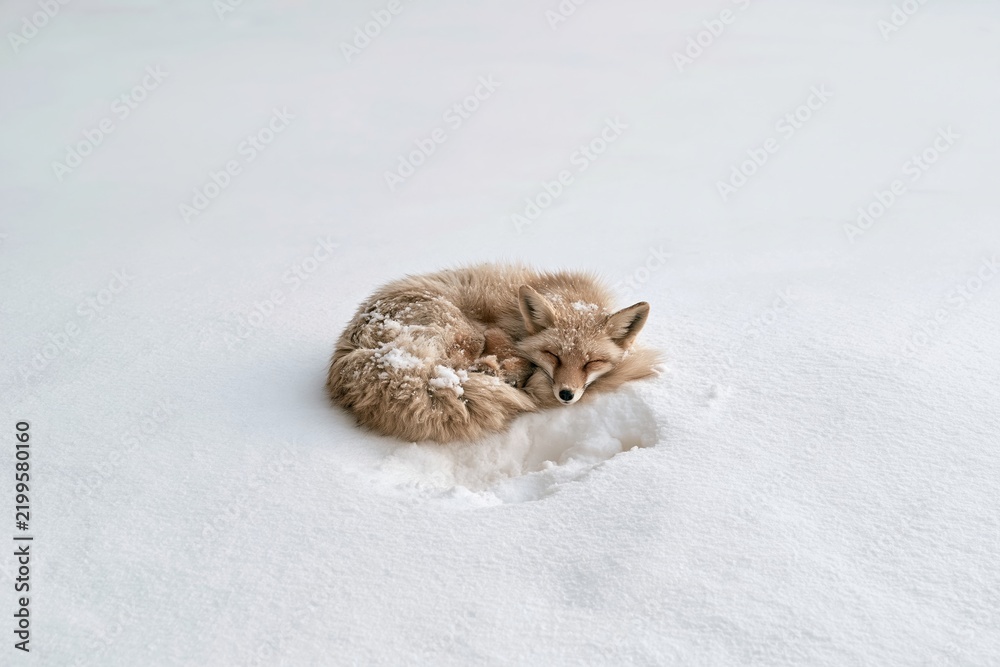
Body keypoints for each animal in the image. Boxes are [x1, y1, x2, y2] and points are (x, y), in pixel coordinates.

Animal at [326, 263, 660, 443]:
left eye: (592, 362)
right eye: (554, 355)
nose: (566, 395)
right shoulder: (495, 333)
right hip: (465, 334)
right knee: (465, 367)